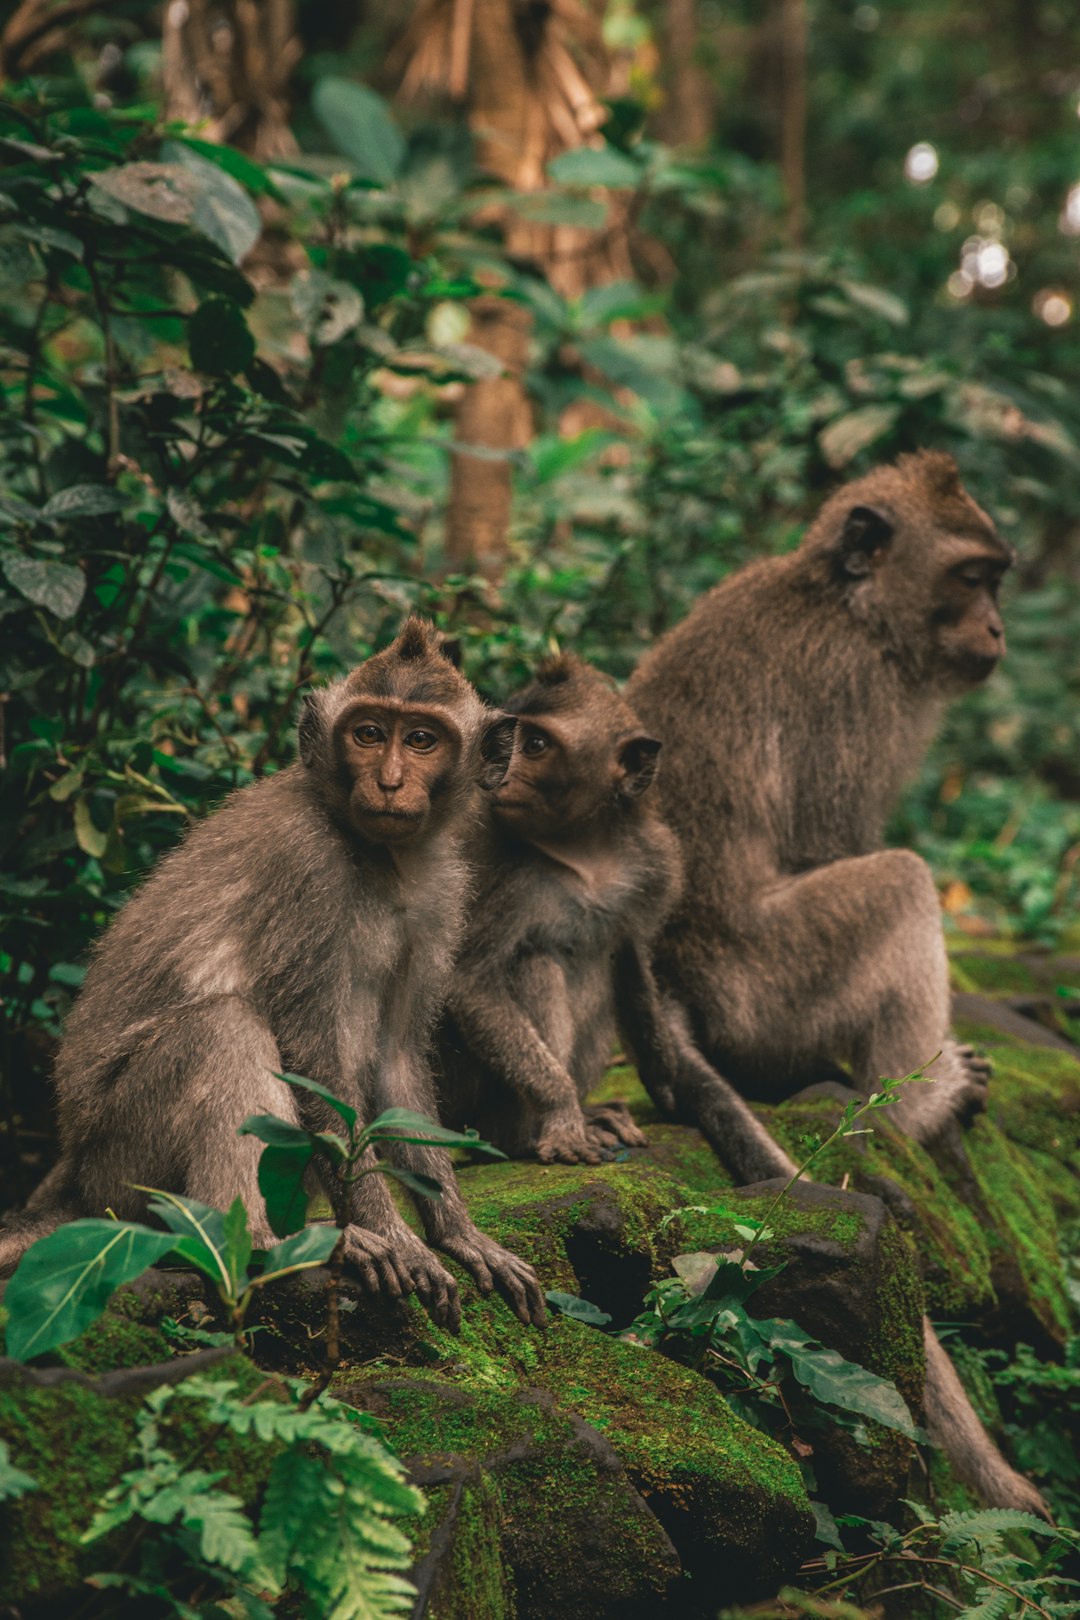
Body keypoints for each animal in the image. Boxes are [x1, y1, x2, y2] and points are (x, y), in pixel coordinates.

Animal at [0, 615, 544, 1328]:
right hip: (122, 1163)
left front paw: (457, 1232)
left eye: (421, 740)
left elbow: (396, 1059)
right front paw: (393, 1234)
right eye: (369, 733)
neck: (382, 856)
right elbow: (314, 1059)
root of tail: (74, 1180)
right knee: (222, 1029)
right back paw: (262, 1242)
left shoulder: (442, 896)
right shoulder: (308, 871)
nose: (390, 781)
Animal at [433, 651, 799, 1185]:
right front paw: (561, 1111)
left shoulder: (656, 863)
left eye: (535, 744)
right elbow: (470, 982)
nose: (499, 774)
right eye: (510, 740)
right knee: (537, 962)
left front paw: (667, 1078)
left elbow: (630, 957)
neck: (586, 852)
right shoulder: (507, 877)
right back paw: (526, 1133)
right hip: (460, 1097)